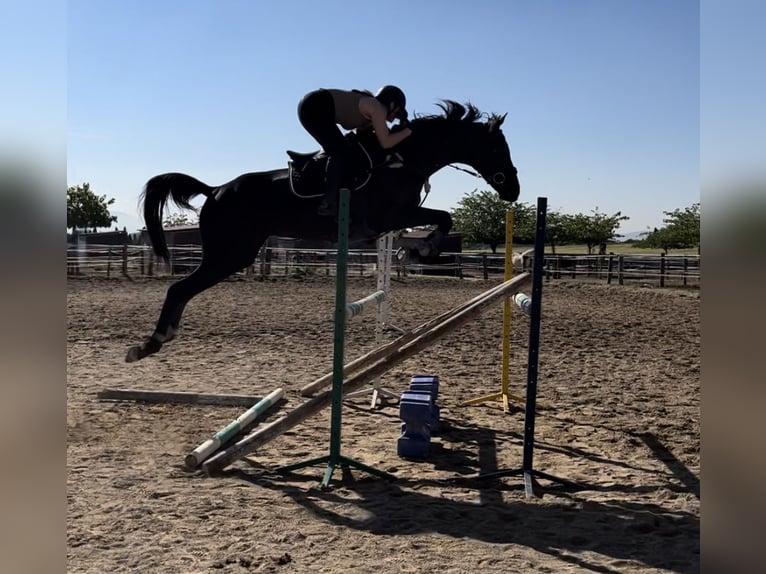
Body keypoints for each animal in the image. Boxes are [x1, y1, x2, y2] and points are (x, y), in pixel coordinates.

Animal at [126, 100, 520, 362]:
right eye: (496, 146)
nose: (513, 190)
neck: (403, 159)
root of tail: (214, 190)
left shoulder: (396, 217)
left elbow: (442, 217)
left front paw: (415, 250)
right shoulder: (389, 216)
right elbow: (444, 217)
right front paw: (422, 250)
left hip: (236, 254)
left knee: (183, 289)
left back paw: (160, 339)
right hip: (230, 254)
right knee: (179, 288)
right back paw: (150, 343)